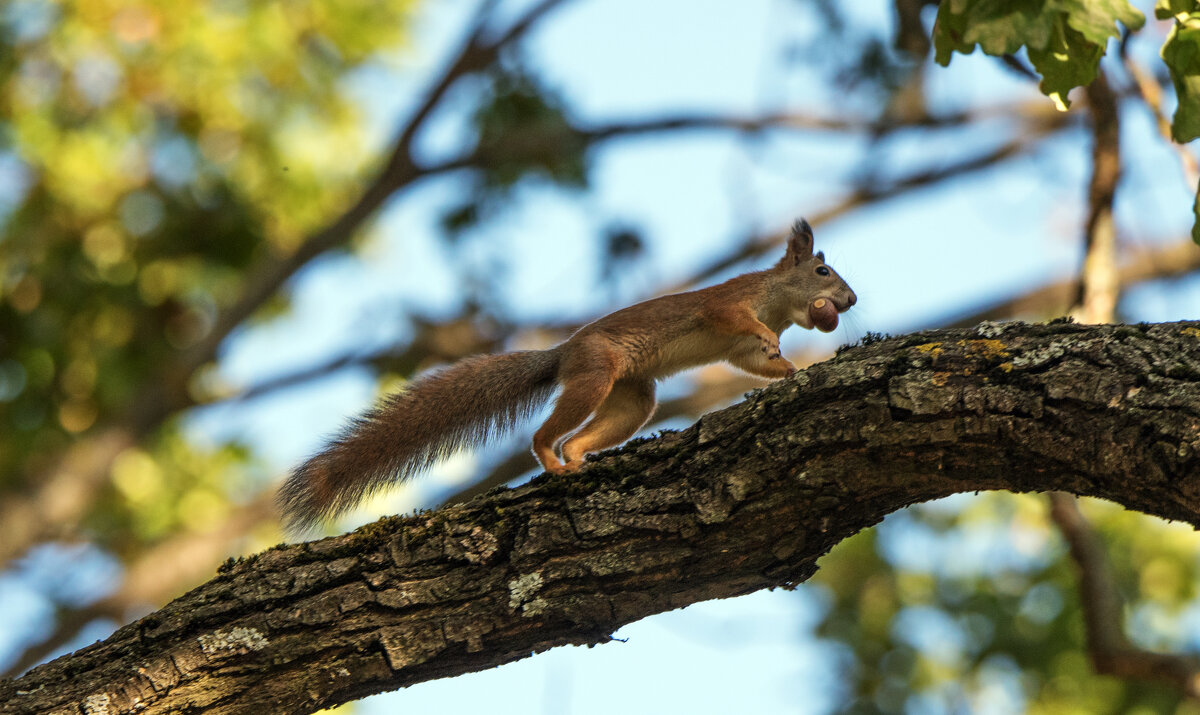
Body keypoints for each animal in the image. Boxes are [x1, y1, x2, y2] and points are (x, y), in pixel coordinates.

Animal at [279, 219, 854, 530]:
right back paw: (553, 464)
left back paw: (577, 461)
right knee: (544, 435)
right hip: (595, 373)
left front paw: (792, 368)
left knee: (592, 430)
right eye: (822, 271)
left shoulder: (737, 354)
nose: (849, 301)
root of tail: (563, 354)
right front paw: (777, 345)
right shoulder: (725, 307)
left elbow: (755, 364)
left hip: (631, 398)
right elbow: (736, 321)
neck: (776, 303)